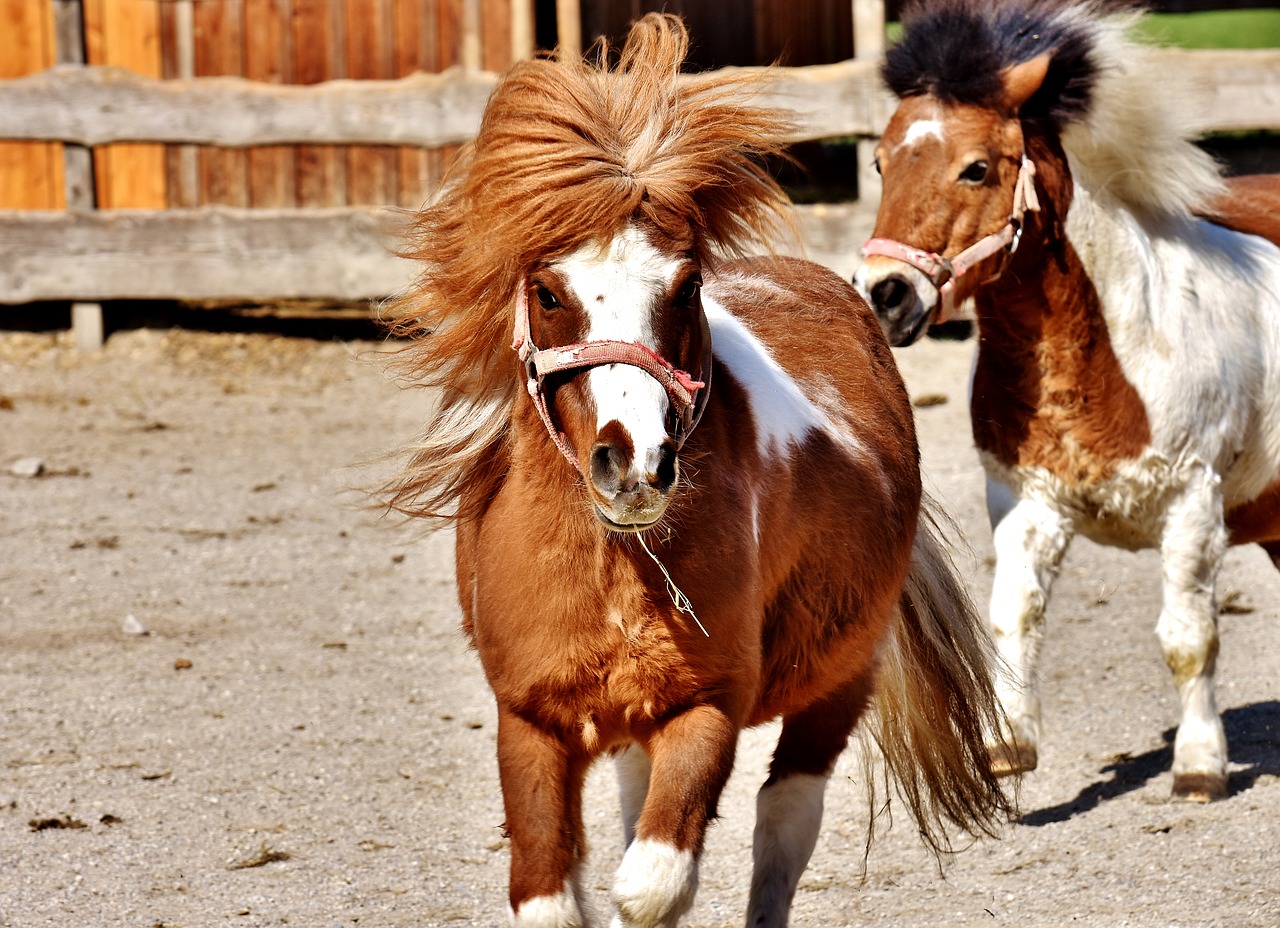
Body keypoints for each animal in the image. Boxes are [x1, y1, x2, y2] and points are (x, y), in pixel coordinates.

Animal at [381, 14, 1008, 926]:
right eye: (547, 291)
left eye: (684, 287)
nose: (635, 462)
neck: (611, 565)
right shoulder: (530, 723)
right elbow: (551, 894)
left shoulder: (706, 708)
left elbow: (651, 886)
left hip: (838, 682)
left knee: (784, 819)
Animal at [855, 0, 1280, 798]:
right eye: (881, 162)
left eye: (977, 167)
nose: (884, 294)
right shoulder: (1028, 504)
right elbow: (1013, 618)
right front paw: (1010, 745)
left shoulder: (1193, 503)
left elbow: (1189, 638)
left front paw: (1199, 766)